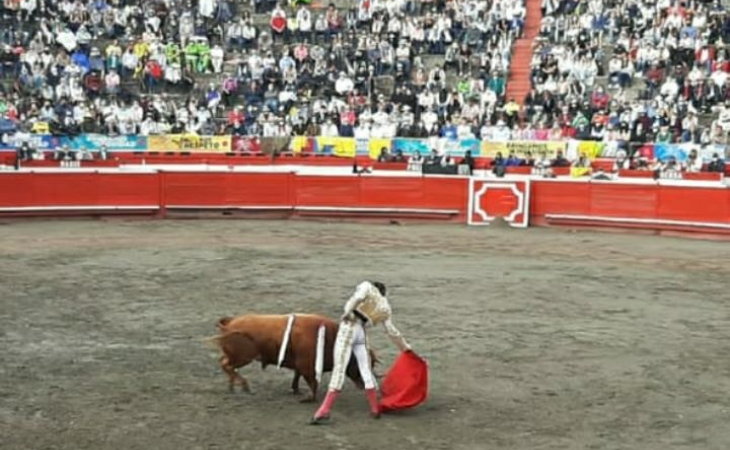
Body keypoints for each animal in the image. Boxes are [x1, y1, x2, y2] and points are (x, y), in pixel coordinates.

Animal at [206, 314, 372, 402]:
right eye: (358, 363)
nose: (366, 384)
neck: (329, 340)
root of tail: (230, 323)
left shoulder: (301, 365)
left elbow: (297, 377)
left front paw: (295, 390)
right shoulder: (307, 367)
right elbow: (312, 383)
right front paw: (308, 398)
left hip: (237, 356)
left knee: (225, 363)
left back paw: (232, 386)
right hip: (244, 357)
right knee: (226, 365)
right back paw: (244, 386)